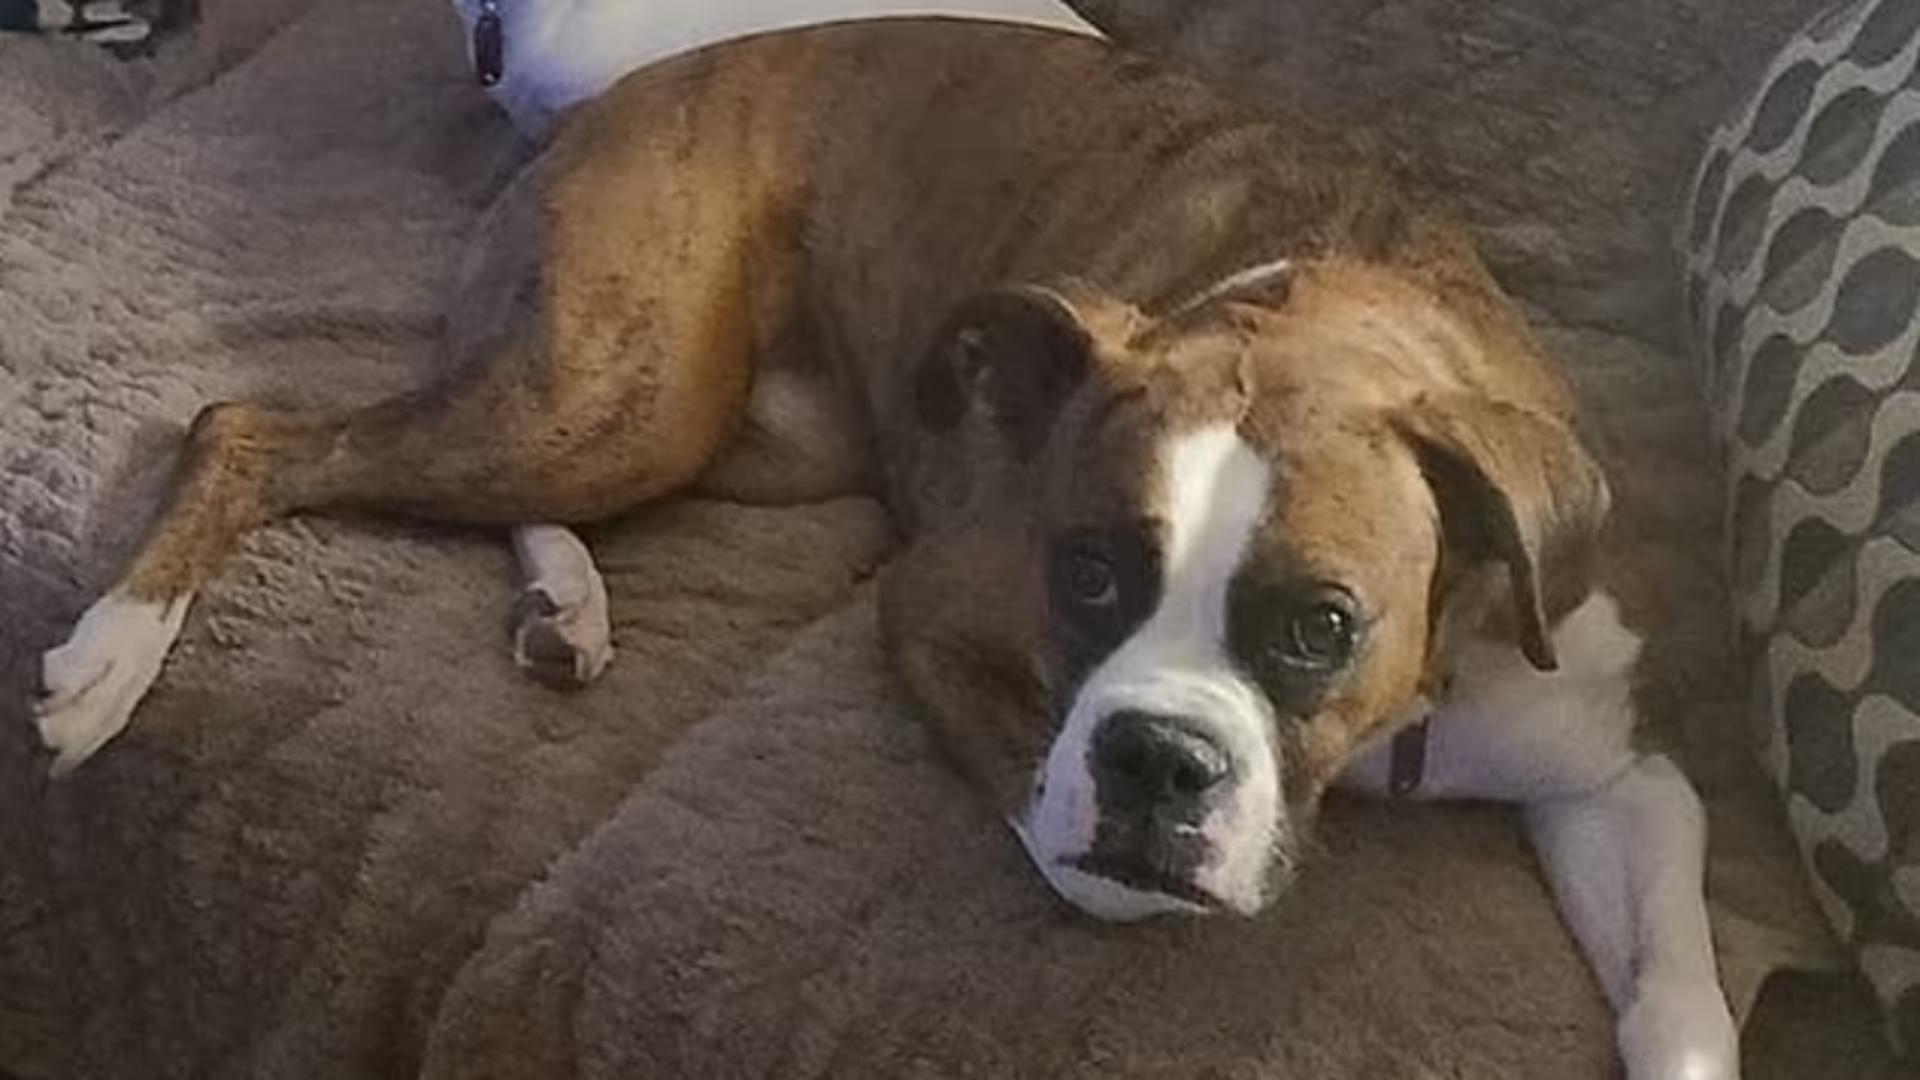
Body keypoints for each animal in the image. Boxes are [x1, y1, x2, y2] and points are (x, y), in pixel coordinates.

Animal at [31, 19, 1739, 1080]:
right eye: (1083, 575)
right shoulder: (944, 617)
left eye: (1322, 623)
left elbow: (1680, 988)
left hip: (706, 425)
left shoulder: (1614, 766)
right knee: (254, 429)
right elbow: (1080, 859)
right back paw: (110, 658)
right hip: (621, 390)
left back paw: (564, 598)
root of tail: (618, 99)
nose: (1160, 760)